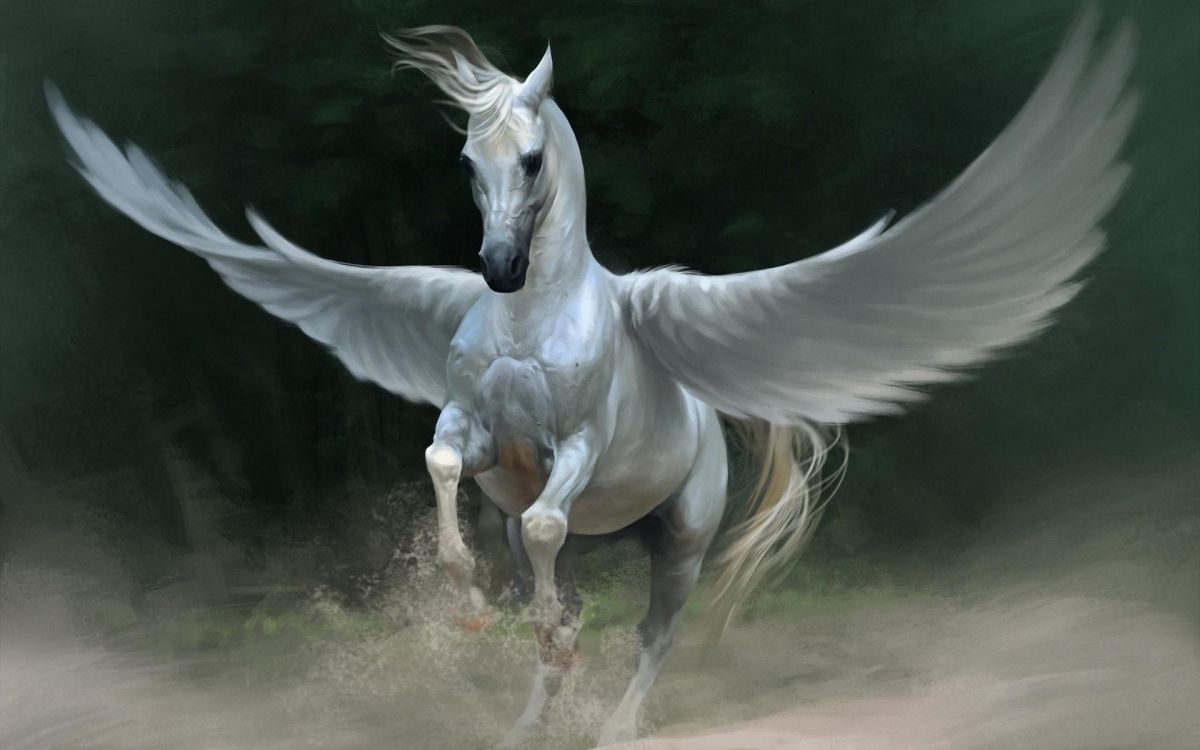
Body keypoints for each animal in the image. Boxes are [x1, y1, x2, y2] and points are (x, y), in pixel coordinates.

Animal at [48, 9, 1133, 745]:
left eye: (532, 160)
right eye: (467, 159)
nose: (495, 268)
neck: (536, 317)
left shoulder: (573, 448)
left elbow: (539, 527)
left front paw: (508, 618)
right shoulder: (476, 427)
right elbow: (446, 470)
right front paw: (467, 599)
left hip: (680, 540)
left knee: (650, 633)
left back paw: (613, 728)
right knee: (566, 600)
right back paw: (523, 721)